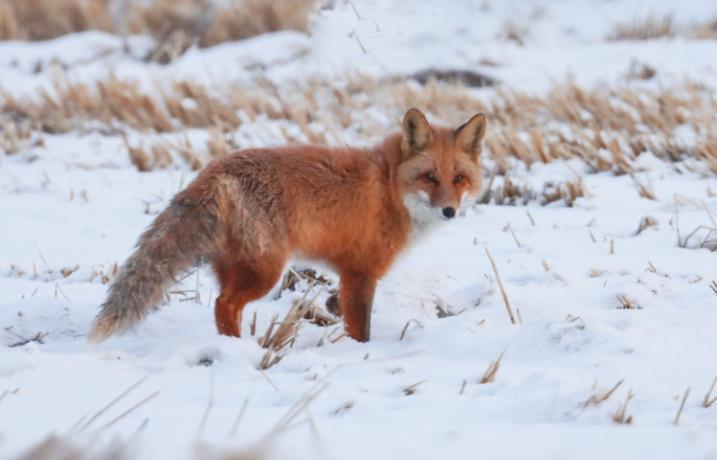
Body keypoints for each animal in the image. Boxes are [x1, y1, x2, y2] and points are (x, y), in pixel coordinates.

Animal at [86, 108, 484, 342]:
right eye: (429, 177)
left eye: (459, 178)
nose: (449, 211)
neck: (389, 187)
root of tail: (214, 171)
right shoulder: (361, 272)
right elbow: (360, 327)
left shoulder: (347, 274)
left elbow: (338, 306)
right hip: (266, 270)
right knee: (224, 304)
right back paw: (236, 348)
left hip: (237, 266)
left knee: (224, 305)